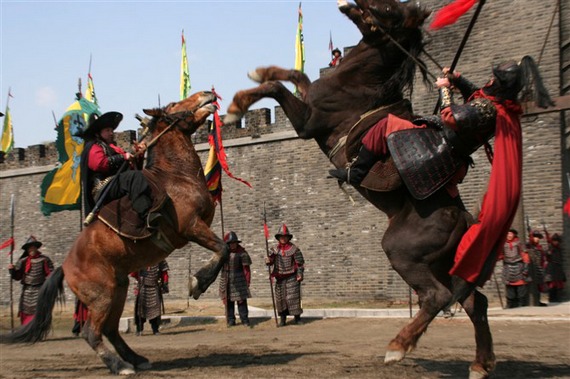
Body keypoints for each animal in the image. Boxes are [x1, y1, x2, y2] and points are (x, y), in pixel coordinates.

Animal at [3, 90, 229, 376]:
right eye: (173, 105)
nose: (208, 94)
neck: (176, 176)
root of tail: (65, 266)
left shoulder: (201, 226)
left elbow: (225, 248)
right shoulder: (191, 227)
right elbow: (223, 248)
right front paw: (198, 282)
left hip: (118, 290)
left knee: (110, 330)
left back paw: (136, 359)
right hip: (102, 295)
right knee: (92, 332)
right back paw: (119, 365)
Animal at [226, 1, 492, 378]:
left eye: (391, 9)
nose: (349, 4)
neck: (355, 82)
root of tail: (464, 218)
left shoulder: (308, 121)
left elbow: (277, 88)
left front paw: (235, 109)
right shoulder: (309, 97)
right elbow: (293, 75)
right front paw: (261, 70)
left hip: (402, 252)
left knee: (437, 297)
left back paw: (398, 347)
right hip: (445, 263)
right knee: (473, 302)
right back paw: (480, 364)